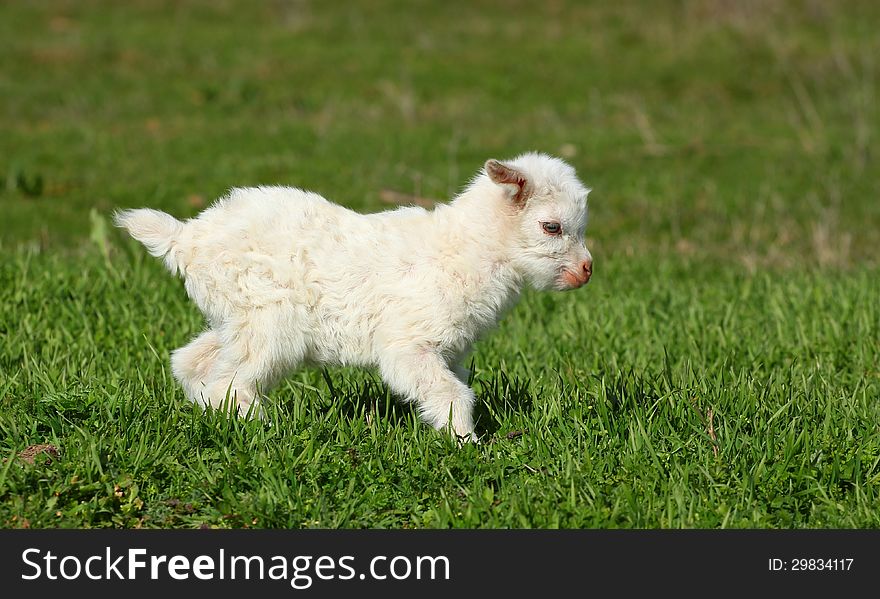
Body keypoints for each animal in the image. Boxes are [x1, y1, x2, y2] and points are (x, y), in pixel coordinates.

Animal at [115, 151, 592, 440]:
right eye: (551, 227)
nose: (586, 271)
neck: (461, 249)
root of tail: (186, 238)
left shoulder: (451, 349)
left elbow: (452, 389)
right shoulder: (408, 342)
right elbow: (453, 394)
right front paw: (465, 443)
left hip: (236, 317)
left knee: (194, 362)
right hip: (269, 317)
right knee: (227, 383)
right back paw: (266, 431)